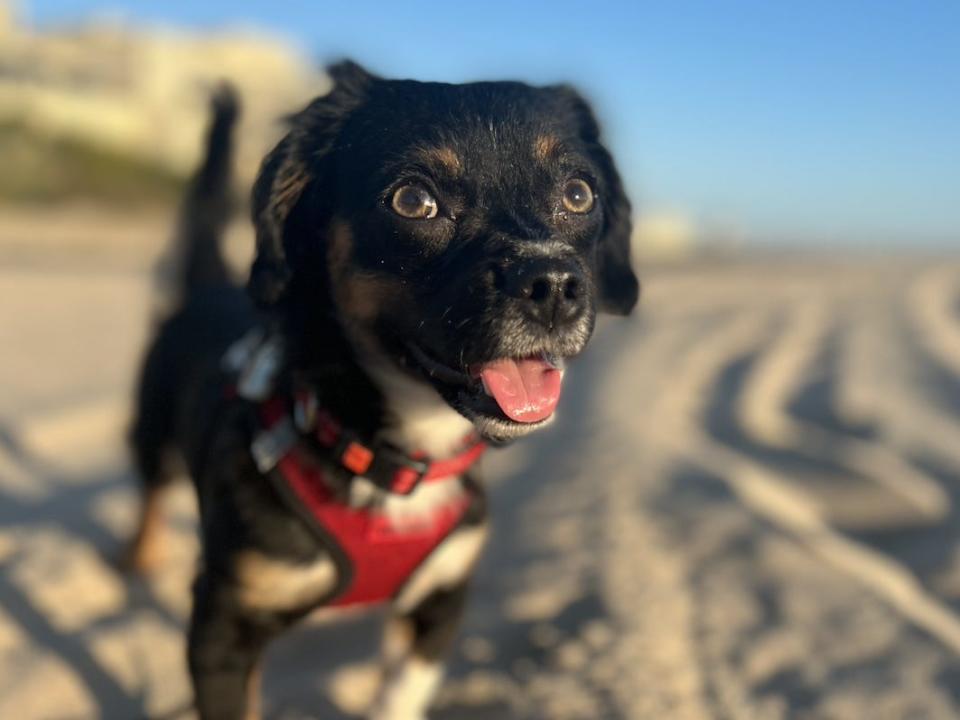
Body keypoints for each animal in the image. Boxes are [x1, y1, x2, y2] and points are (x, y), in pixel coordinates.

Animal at [125, 62, 636, 720]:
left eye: (579, 194)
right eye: (413, 201)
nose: (552, 284)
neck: (394, 456)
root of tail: (206, 287)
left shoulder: (444, 594)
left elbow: (404, 687)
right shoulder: (223, 625)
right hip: (152, 431)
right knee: (151, 493)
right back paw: (137, 560)